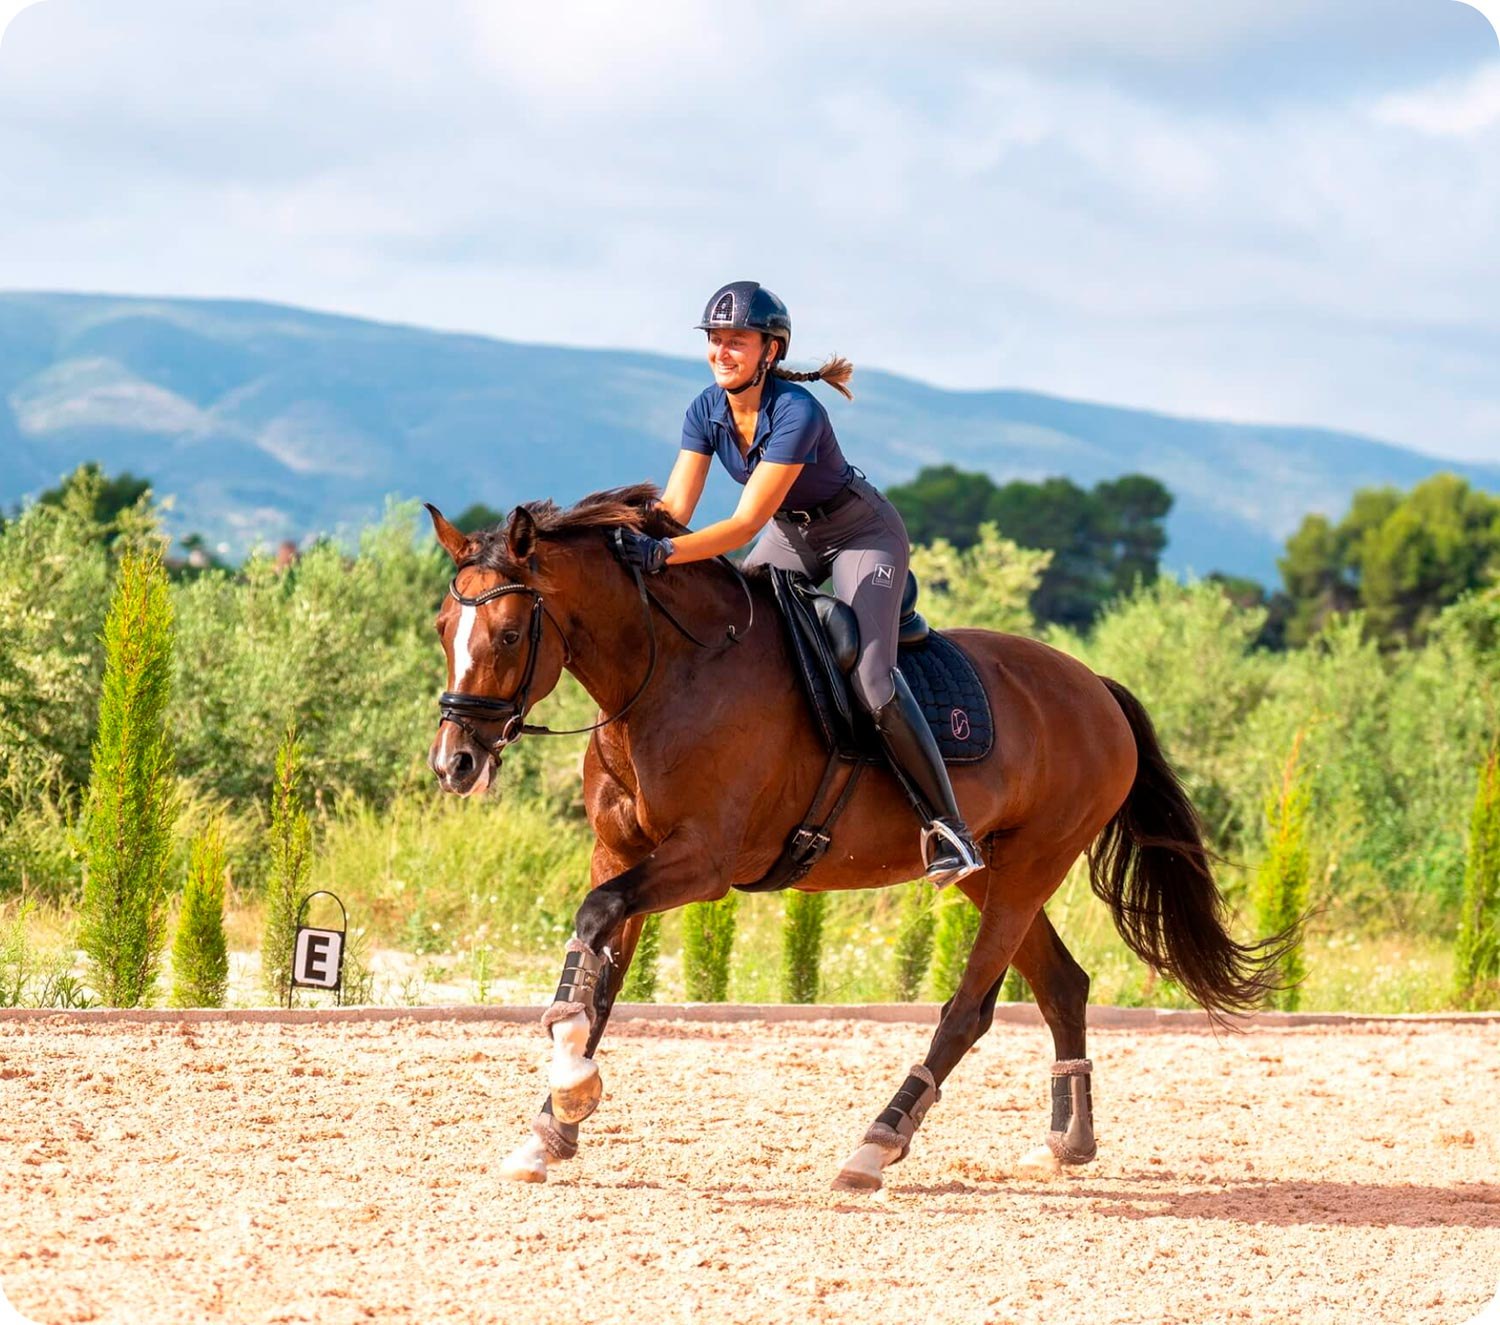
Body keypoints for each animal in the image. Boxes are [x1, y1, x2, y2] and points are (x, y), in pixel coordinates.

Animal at [424, 485, 1287, 1191]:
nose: (453, 762)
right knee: (1062, 983)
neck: (665, 677)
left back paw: (877, 1143)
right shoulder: (623, 853)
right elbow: (598, 975)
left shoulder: (700, 861)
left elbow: (595, 922)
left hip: (1032, 864)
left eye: (508, 633)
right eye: (442, 625)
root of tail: (1096, 689)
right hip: (992, 868)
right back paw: (1067, 1141)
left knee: (968, 1009)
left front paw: (569, 1081)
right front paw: (553, 1123)